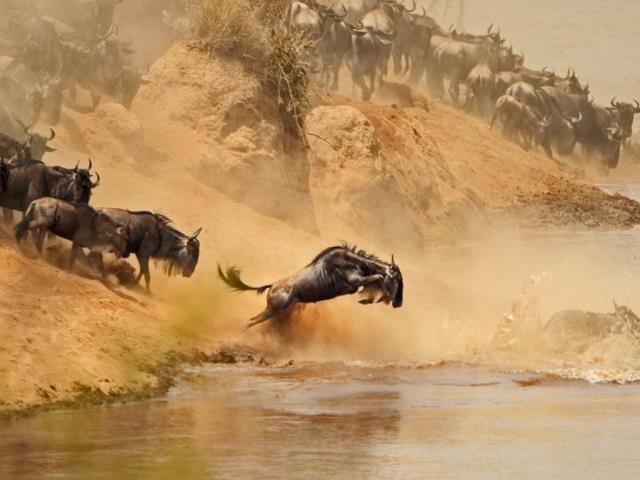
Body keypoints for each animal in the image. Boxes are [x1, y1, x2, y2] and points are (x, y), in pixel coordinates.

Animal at [218, 243, 404, 328]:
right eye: (397, 279)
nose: (399, 303)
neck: (351, 262)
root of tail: (272, 286)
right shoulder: (352, 284)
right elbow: (376, 276)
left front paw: (368, 300)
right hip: (273, 310)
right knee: (250, 322)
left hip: (278, 311)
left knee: (251, 320)